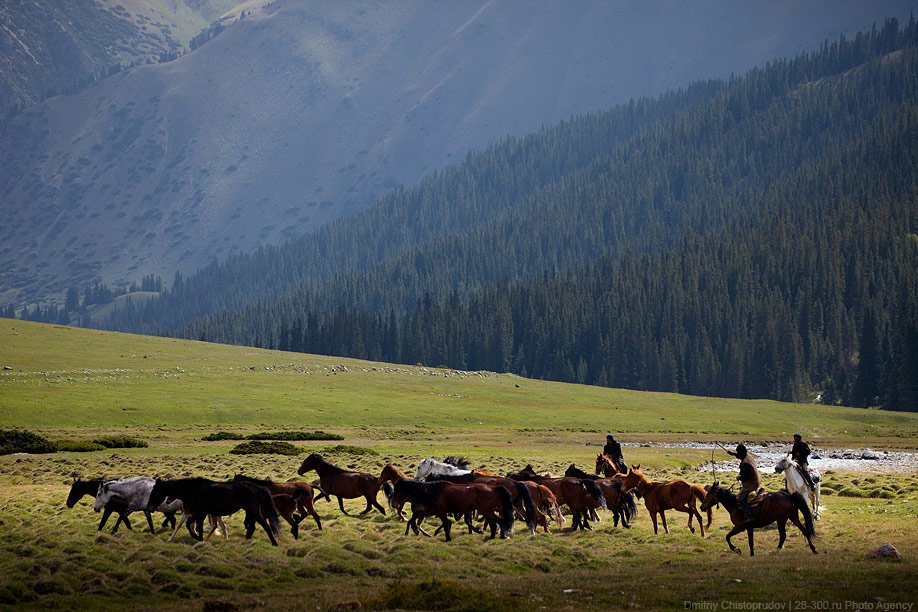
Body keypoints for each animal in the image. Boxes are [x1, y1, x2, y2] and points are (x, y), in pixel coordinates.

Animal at [148, 478, 280, 544]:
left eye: (156, 491)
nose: (149, 507)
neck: (191, 490)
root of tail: (259, 488)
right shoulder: (199, 513)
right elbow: (193, 525)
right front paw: (199, 538)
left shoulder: (199, 512)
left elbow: (190, 524)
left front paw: (197, 537)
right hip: (251, 512)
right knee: (252, 527)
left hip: (253, 511)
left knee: (266, 526)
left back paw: (274, 543)